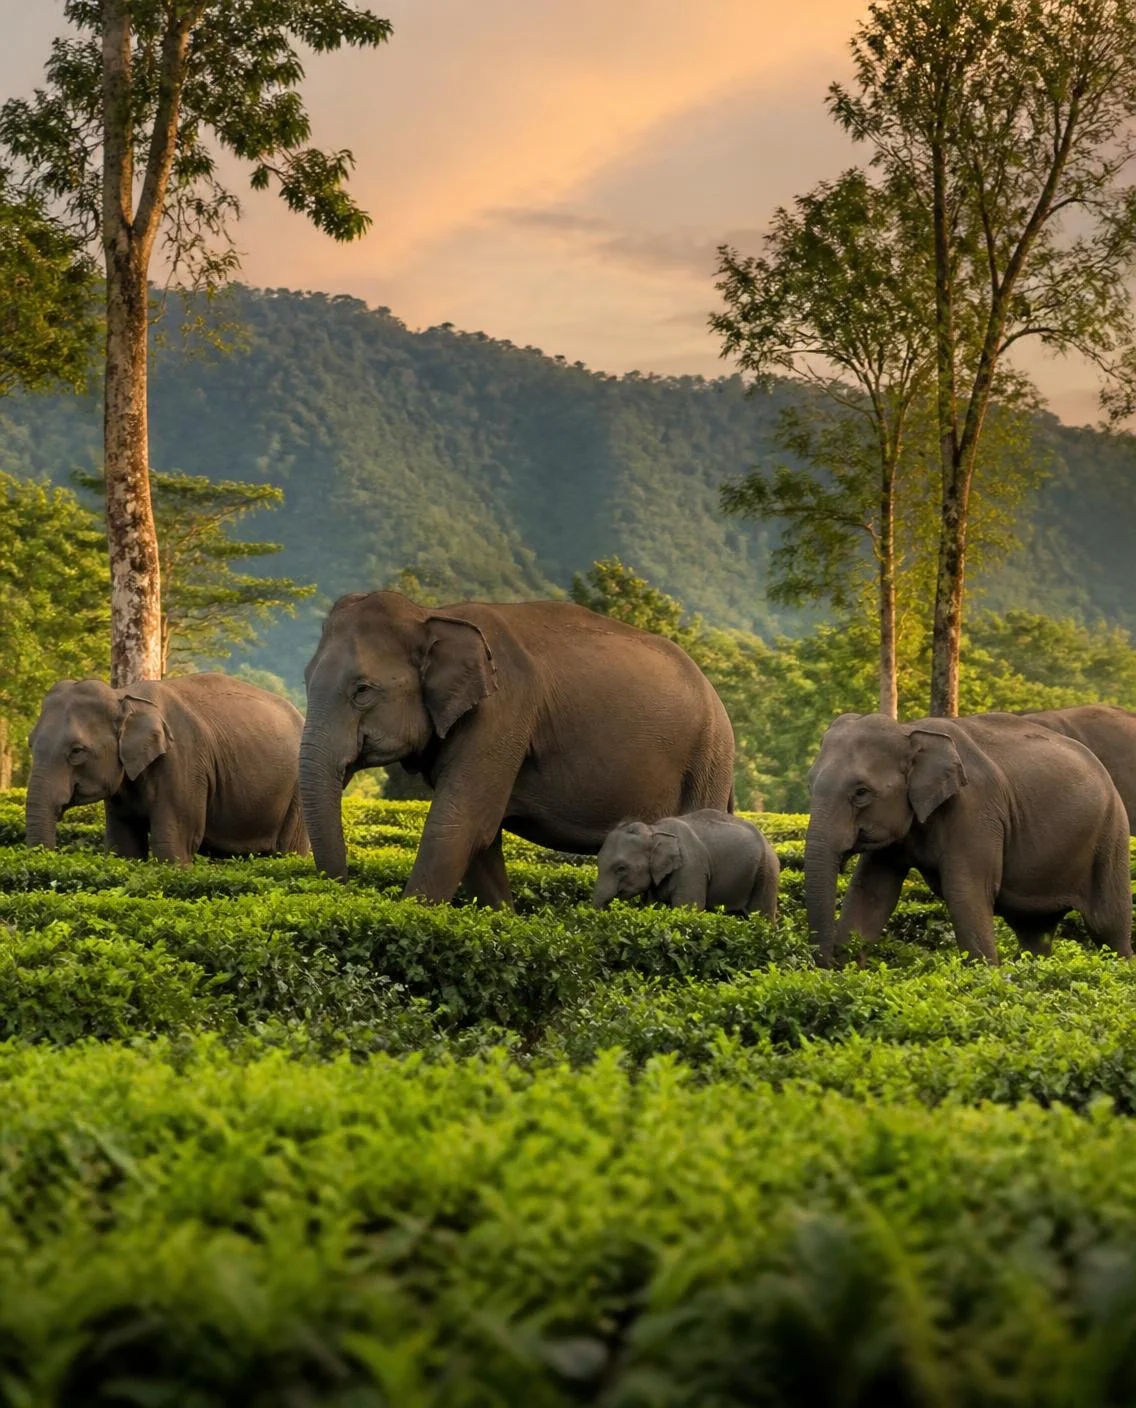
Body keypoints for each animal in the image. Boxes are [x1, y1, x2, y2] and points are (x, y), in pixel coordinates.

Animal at [25, 674, 309, 862]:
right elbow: (124, 845)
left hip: (297, 792)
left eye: (77, 751)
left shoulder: (183, 764)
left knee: (289, 849)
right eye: (30, 743)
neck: (123, 696)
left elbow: (174, 843)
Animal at [299, 591, 736, 904]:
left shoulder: (503, 715)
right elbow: (481, 841)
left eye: (362, 691)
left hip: (707, 757)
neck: (432, 615)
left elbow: (458, 825)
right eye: (306, 680)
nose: (341, 892)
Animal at [592, 810, 780, 920]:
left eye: (621, 868)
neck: (654, 830)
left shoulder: (691, 868)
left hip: (766, 872)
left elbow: (688, 908)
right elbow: (651, 905)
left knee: (761, 915)